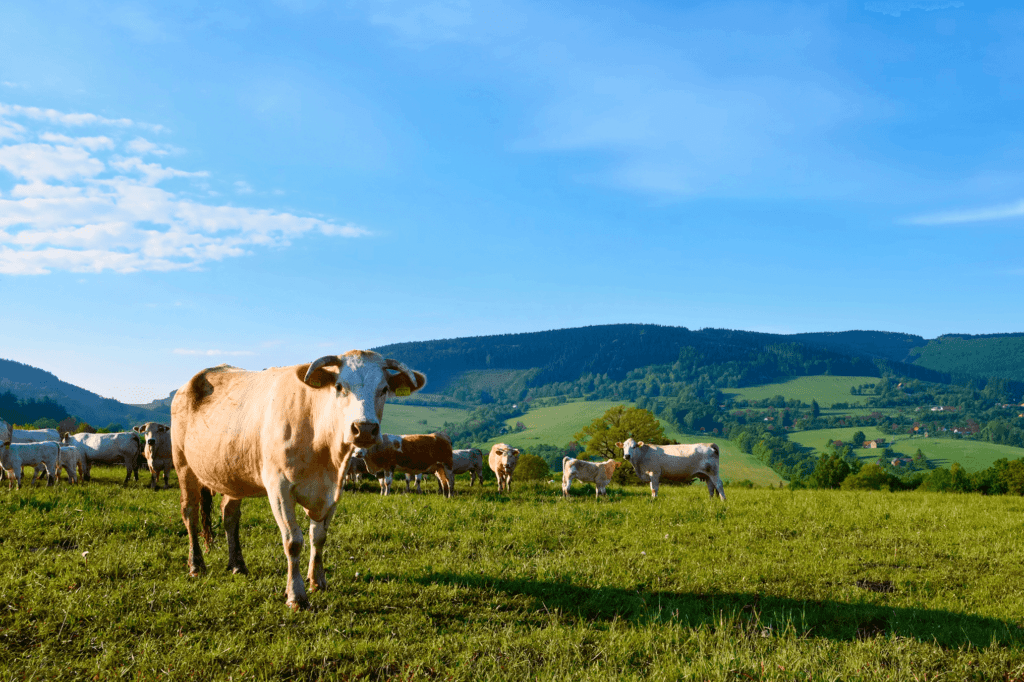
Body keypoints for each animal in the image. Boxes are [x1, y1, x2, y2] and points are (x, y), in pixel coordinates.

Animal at [169, 348, 425, 606]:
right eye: (339, 386)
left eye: (383, 389)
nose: (364, 429)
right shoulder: (279, 488)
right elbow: (293, 541)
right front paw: (296, 595)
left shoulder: (332, 491)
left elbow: (319, 537)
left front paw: (318, 581)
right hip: (183, 465)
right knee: (190, 514)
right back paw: (196, 565)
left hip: (232, 473)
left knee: (230, 516)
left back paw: (237, 565)